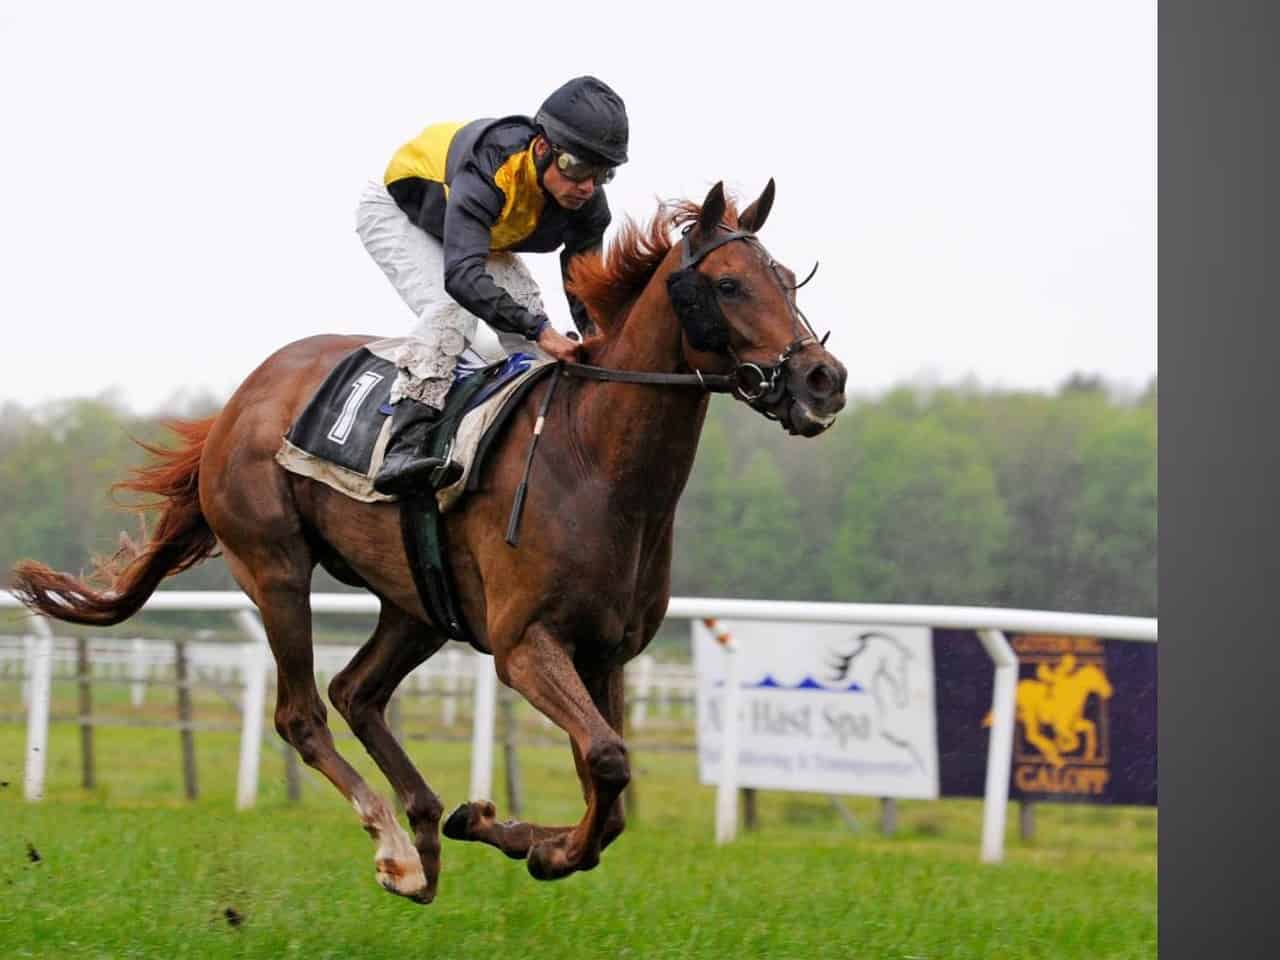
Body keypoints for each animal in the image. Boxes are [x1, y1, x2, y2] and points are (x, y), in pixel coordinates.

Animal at [12, 179, 849, 901]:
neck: (595, 460)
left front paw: (503, 829)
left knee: (357, 692)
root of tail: (240, 401)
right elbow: (608, 761)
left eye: (789, 280)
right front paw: (535, 846)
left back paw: (426, 830)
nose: (823, 379)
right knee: (303, 713)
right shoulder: (524, 644)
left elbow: (607, 791)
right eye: (731, 285)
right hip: (273, 565)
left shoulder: (607, 650)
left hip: (416, 600)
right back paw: (395, 851)